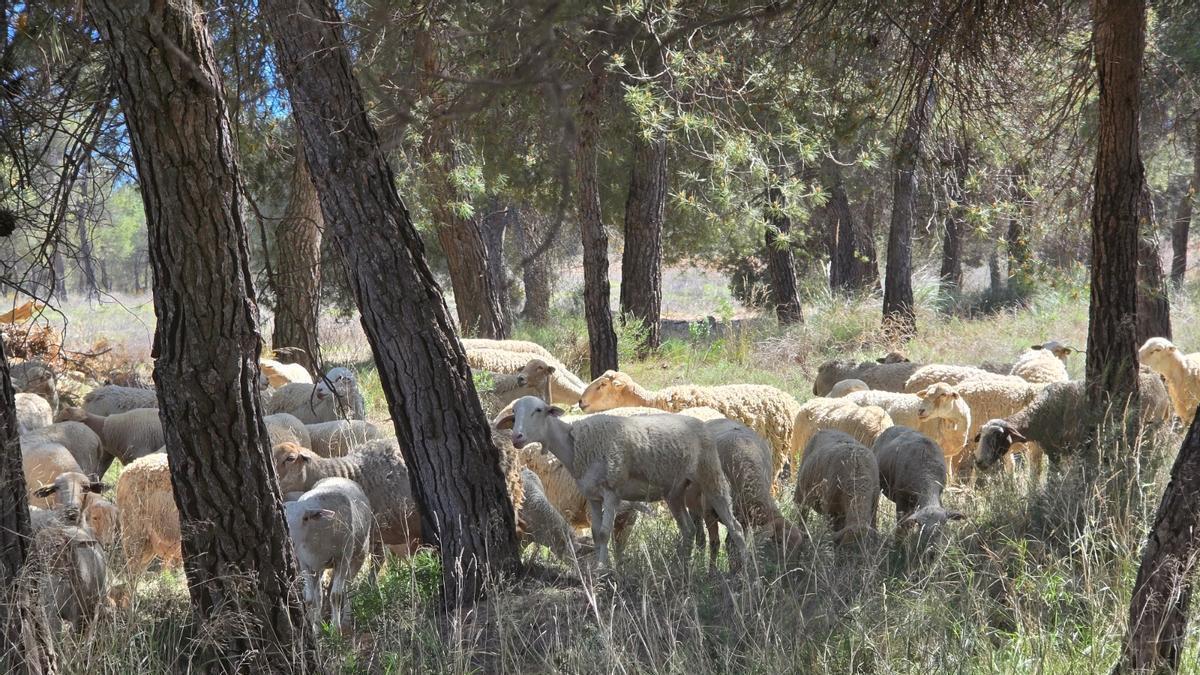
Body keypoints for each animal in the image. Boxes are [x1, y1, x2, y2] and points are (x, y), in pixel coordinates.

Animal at [285, 477, 373, 634]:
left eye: (306, 518)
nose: (290, 541)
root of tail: (339, 478)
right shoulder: (305, 564)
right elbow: (311, 599)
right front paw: (316, 629)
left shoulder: (342, 558)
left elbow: (335, 595)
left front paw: (335, 629)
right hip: (319, 566)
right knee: (320, 595)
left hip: (358, 555)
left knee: (347, 588)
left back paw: (346, 619)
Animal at [495, 396, 746, 569]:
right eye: (514, 413)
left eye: (538, 410)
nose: (517, 437)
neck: (574, 444)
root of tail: (701, 423)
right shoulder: (592, 496)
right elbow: (596, 534)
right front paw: (603, 566)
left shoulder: (611, 492)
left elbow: (605, 533)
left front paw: (604, 569)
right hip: (675, 491)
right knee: (689, 530)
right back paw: (682, 569)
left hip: (710, 475)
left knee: (735, 527)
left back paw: (744, 572)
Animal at [844, 383, 973, 479]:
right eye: (925, 394)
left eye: (943, 394)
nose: (920, 410)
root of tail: (848, 396)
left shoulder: (947, 454)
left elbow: (949, 474)